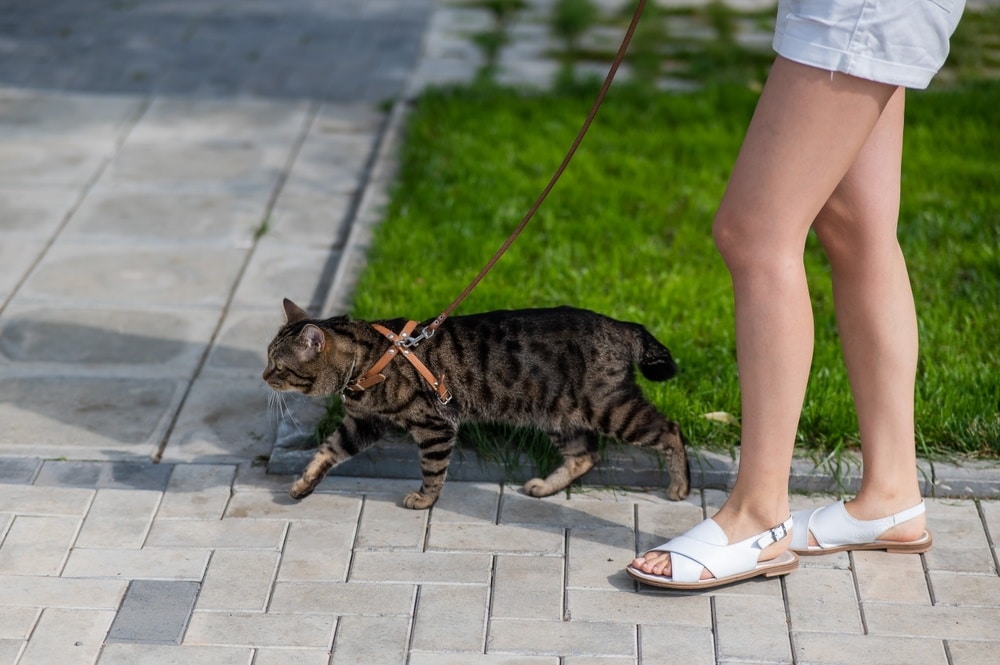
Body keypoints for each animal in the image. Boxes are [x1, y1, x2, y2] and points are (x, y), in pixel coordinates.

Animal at [262, 298, 692, 506]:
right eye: (267, 359)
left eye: (278, 366)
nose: (263, 376)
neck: (371, 359)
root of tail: (619, 325)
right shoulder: (363, 423)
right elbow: (327, 451)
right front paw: (303, 484)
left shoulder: (434, 426)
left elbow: (433, 470)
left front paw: (424, 500)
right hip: (559, 416)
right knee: (586, 455)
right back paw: (545, 487)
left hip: (610, 408)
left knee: (670, 430)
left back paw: (680, 486)